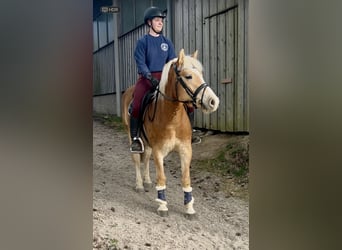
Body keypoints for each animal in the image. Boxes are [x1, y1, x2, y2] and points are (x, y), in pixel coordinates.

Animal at [121, 48, 220, 217]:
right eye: (188, 76)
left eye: (201, 74)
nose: (213, 101)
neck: (171, 118)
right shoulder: (158, 151)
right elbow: (162, 178)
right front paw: (162, 206)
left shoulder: (186, 150)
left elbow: (186, 179)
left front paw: (189, 208)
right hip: (131, 135)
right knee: (137, 159)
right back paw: (140, 184)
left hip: (148, 144)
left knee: (146, 158)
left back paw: (147, 181)